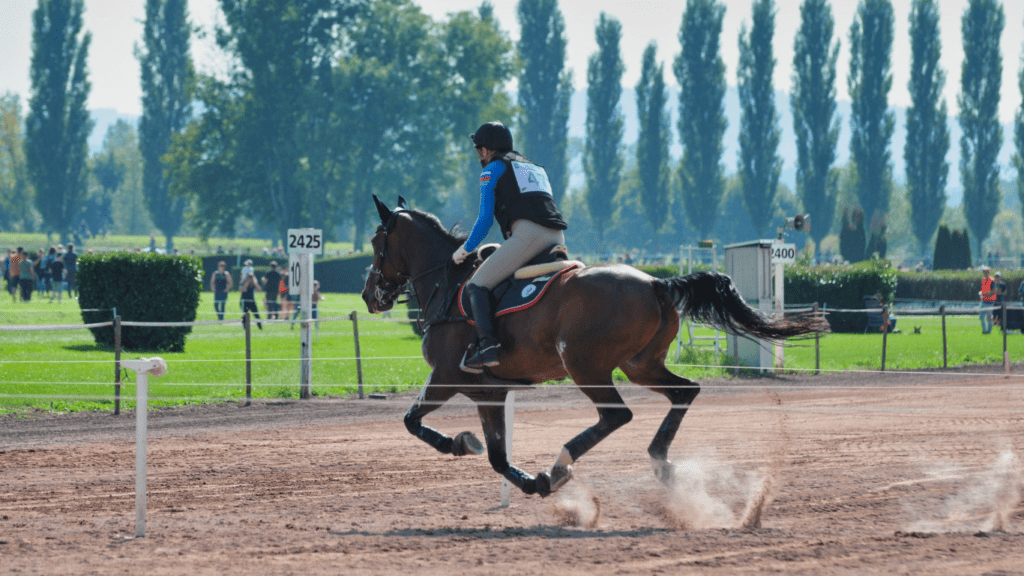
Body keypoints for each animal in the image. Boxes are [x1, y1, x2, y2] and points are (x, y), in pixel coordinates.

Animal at [364, 194, 827, 496]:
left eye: (375, 242)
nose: (370, 296)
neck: (447, 282)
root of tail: (657, 282)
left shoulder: (446, 375)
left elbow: (411, 421)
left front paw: (460, 444)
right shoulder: (489, 390)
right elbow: (495, 455)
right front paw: (521, 478)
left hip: (585, 366)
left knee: (616, 414)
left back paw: (561, 464)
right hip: (640, 365)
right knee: (684, 392)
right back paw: (659, 460)